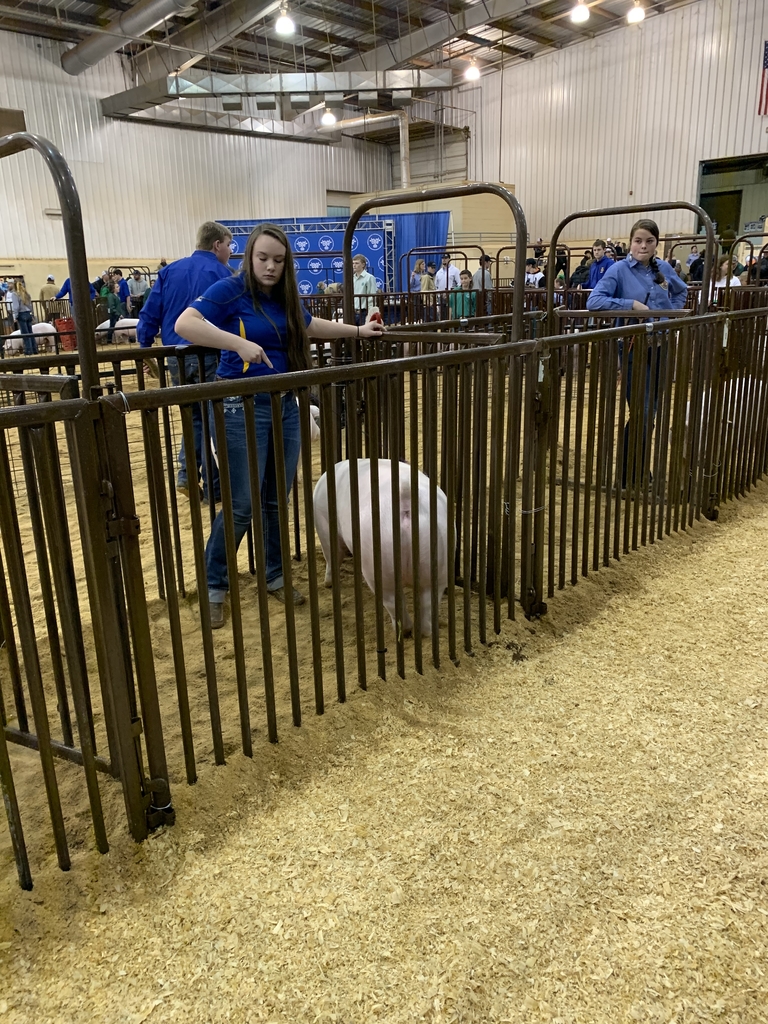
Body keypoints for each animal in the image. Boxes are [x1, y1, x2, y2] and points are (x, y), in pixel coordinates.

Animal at [315, 460, 454, 634]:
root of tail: (405, 496)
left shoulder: (323, 523)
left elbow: (332, 556)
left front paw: (327, 584)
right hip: (438, 560)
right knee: (427, 604)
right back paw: (425, 632)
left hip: (379, 566)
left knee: (392, 602)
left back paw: (403, 631)